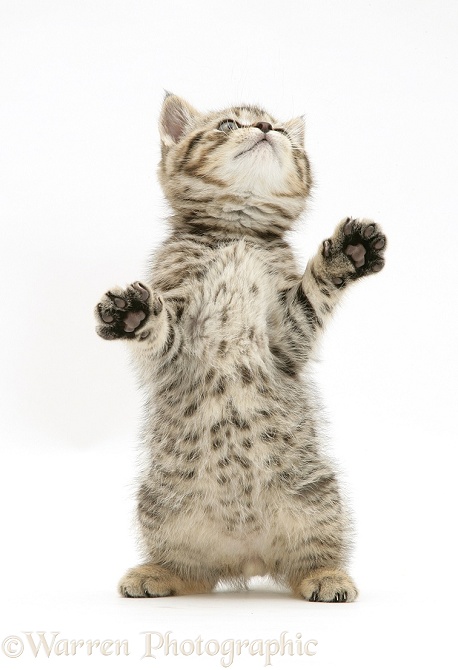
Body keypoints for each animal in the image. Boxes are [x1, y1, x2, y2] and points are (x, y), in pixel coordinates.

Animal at [95, 93, 386, 604]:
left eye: (285, 133)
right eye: (229, 125)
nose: (267, 129)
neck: (237, 236)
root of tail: (247, 556)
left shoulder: (288, 335)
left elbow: (312, 293)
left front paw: (345, 254)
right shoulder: (178, 335)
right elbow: (162, 331)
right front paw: (134, 314)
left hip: (317, 495)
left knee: (312, 555)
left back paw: (327, 575)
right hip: (161, 507)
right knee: (193, 572)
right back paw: (158, 573)